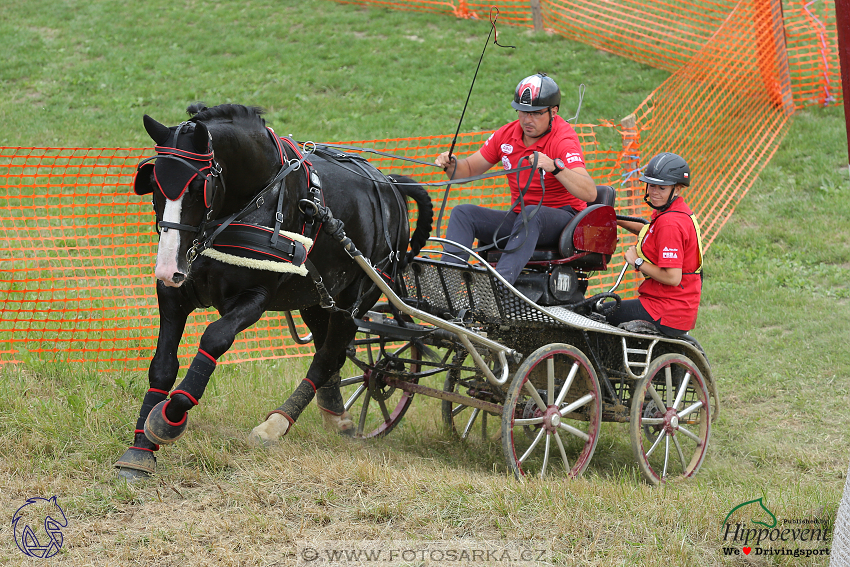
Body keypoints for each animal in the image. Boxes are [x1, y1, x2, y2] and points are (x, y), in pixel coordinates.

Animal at [114, 103, 430, 480]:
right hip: (317, 300)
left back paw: (276, 425)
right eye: (154, 183)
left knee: (327, 358)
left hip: (356, 299)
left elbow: (214, 338)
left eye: (198, 187)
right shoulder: (174, 293)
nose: (166, 267)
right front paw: (140, 449)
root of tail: (391, 186)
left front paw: (171, 415)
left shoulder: (255, 298)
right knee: (331, 351)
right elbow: (162, 364)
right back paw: (336, 414)